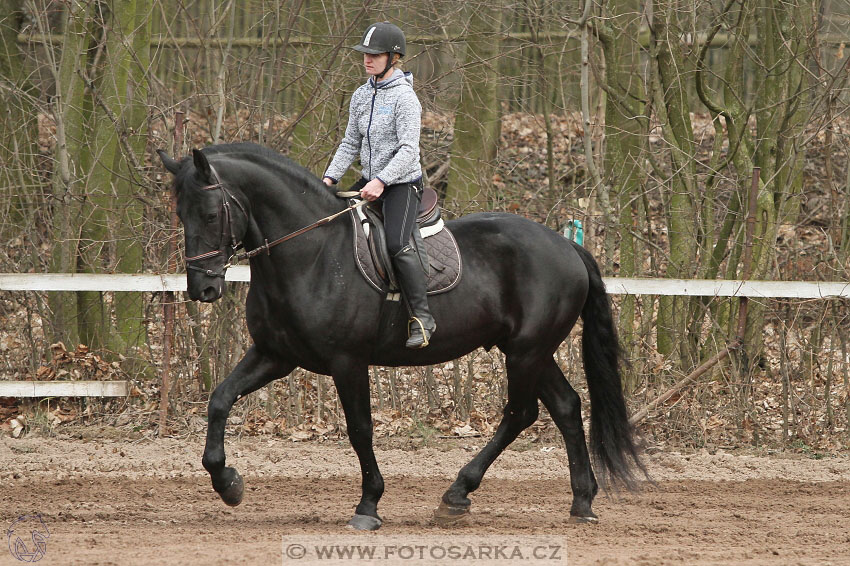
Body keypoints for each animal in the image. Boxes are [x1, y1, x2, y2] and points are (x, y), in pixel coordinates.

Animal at [156, 143, 640, 532]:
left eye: (211, 214)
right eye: (180, 214)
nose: (202, 289)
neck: (312, 254)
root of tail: (566, 246)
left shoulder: (347, 361)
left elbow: (360, 429)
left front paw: (368, 505)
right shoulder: (275, 355)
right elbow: (220, 399)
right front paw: (227, 483)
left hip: (525, 352)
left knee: (521, 413)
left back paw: (457, 495)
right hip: (531, 352)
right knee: (566, 406)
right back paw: (581, 502)